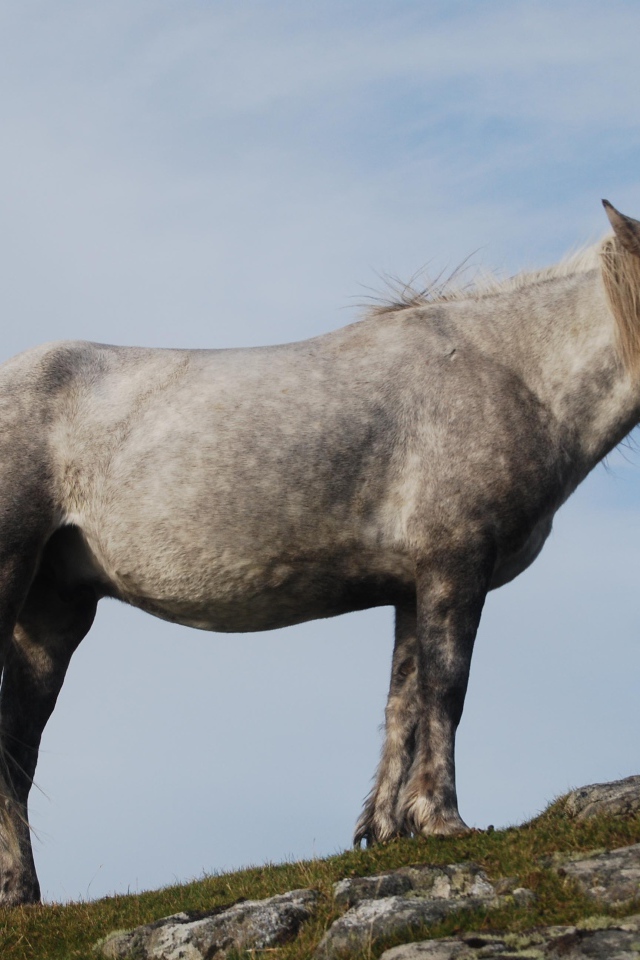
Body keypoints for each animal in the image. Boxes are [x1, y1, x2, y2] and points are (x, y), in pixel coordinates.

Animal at [0, 200, 638, 905]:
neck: (513, 373)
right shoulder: (455, 567)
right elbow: (446, 689)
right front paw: (442, 819)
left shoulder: (412, 588)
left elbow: (401, 704)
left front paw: (386, 829)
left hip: (54, 611)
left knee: (18, 742)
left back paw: (22, 893)